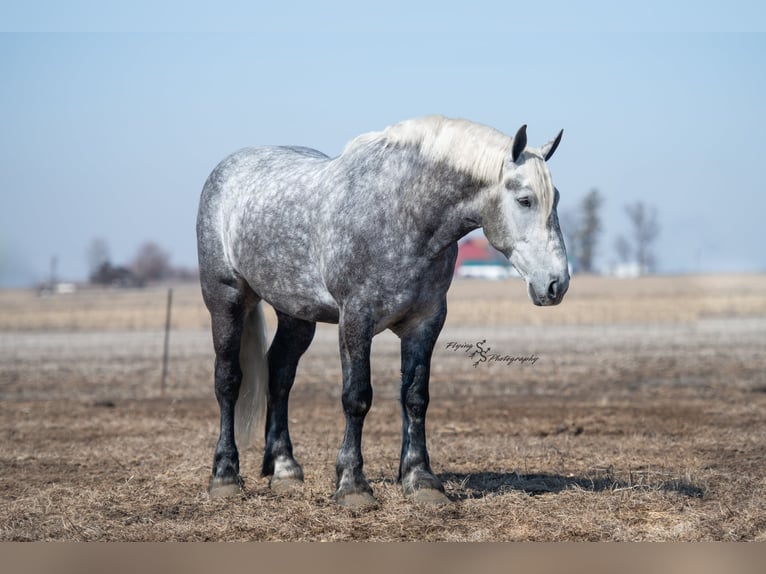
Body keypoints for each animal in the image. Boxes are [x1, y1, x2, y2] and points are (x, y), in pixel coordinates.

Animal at [196, 116, 569, 507]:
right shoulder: (356, 319)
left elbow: (415, 398)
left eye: (555, 198)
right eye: (525, 200)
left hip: (296, 314)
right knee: (228, 380)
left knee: (280, 374)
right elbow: (357, 397)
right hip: (226, 300)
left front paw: (421, 479)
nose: (556, 284)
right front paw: (352, 484)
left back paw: (285, 470)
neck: (402, 213)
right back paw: (225, 475)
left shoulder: (425, 322)